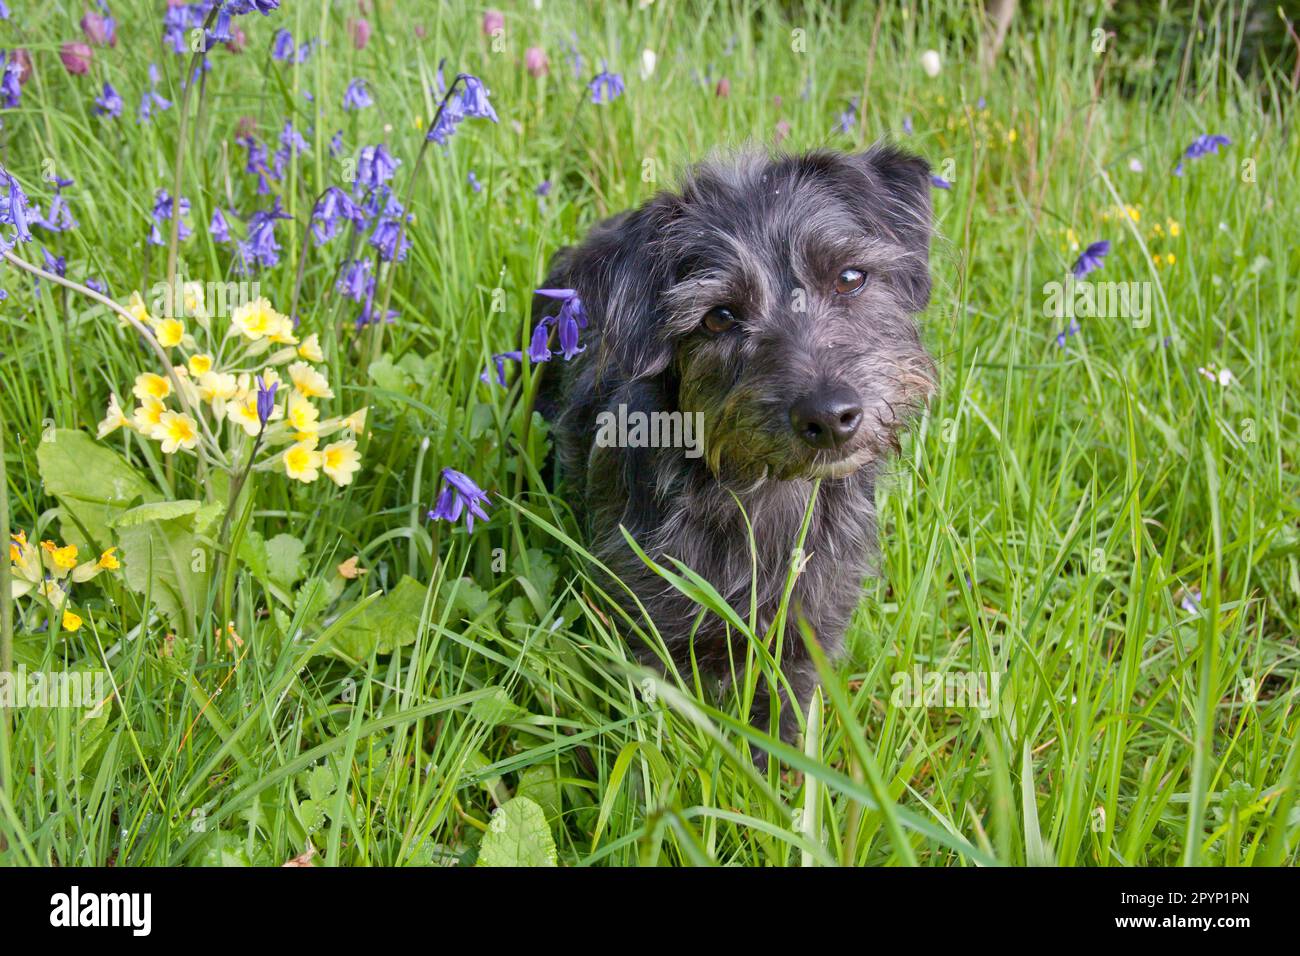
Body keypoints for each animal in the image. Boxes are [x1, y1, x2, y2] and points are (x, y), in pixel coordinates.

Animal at [535, 147, 935, 749]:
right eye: (719, 316)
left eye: (849, 277)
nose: (830, 416)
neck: (763, 492)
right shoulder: (644, 630)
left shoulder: (806, 640)